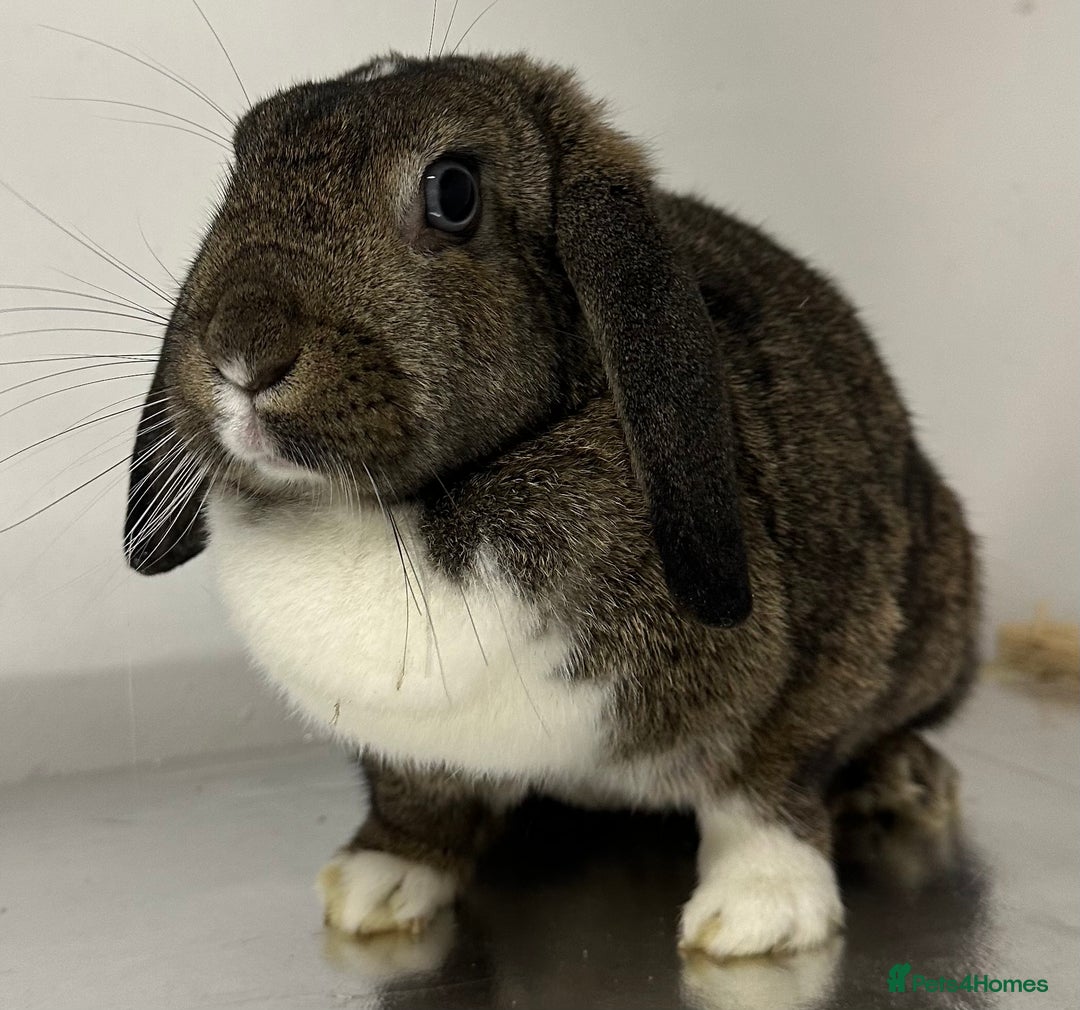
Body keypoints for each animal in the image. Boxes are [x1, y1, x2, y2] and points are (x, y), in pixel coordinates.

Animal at [123, 52, 979, 960]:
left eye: (453, 192)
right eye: (240, 170)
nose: (242, 352)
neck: (391, 512)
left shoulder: (830, 648)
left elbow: (768, 781)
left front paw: (761, 913)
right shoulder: (408, 743)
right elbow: (415, 798)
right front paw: (378, 884)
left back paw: (906, 781)